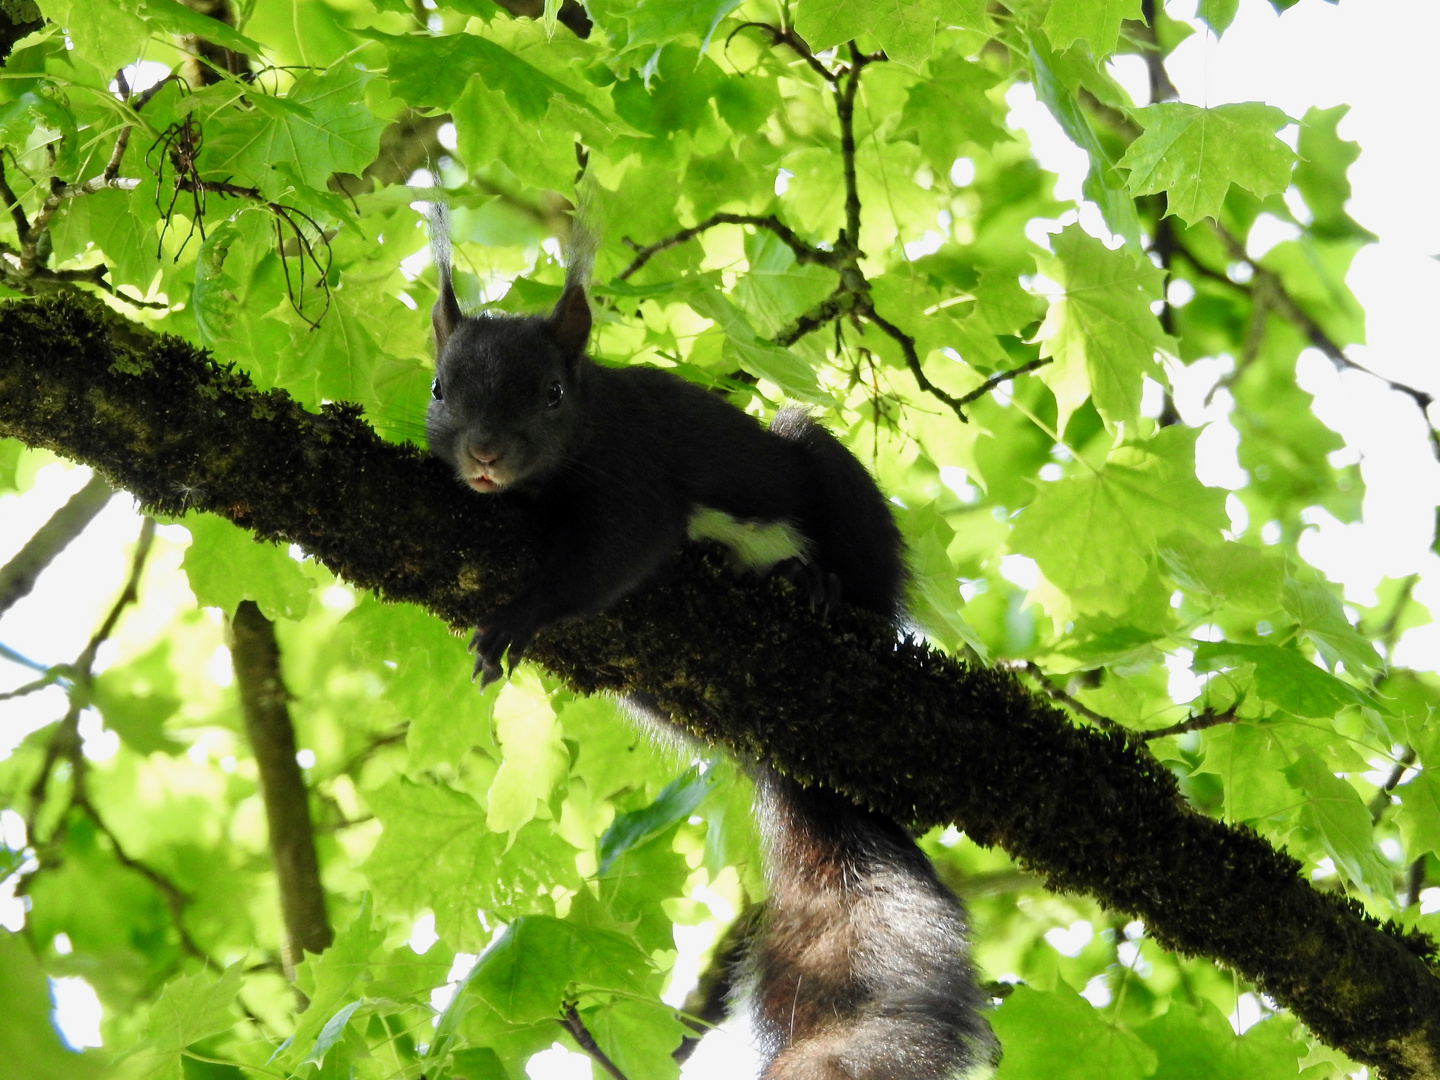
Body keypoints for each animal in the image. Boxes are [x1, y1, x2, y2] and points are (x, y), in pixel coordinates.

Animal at [420, 204, 996, 1080]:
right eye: (439, 389)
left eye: (551, 394)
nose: (484, 456)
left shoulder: (636, 479)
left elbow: (614, 554)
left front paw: (516, 620)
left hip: (829, 482)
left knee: (860, 575)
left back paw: (821, 591)